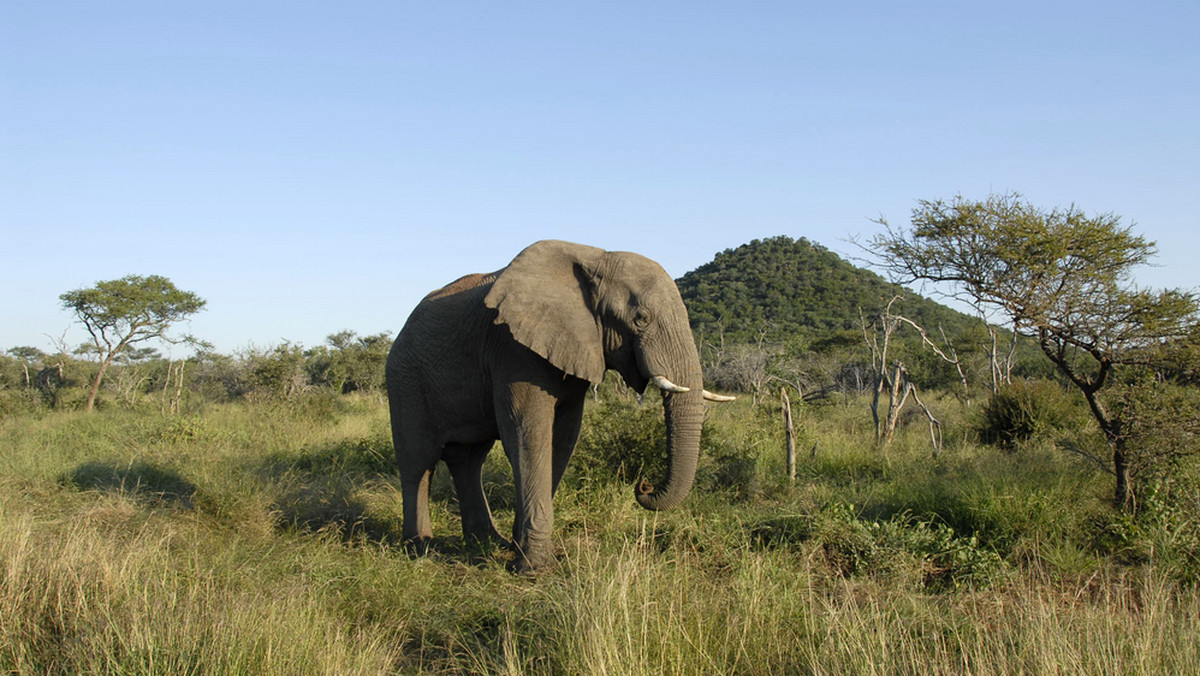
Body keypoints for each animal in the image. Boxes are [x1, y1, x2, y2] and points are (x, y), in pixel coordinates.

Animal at [388, 237, 734, 571]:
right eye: (641, 319)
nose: (644, 485)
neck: (596, 258)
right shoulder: (512, 348)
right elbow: (528, 434)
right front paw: (534, 568)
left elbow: (563, 437)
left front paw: (519, 549)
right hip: (406, 379)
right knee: (418, 460)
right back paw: (419, 548)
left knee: (469, 460)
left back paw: (487, 542)